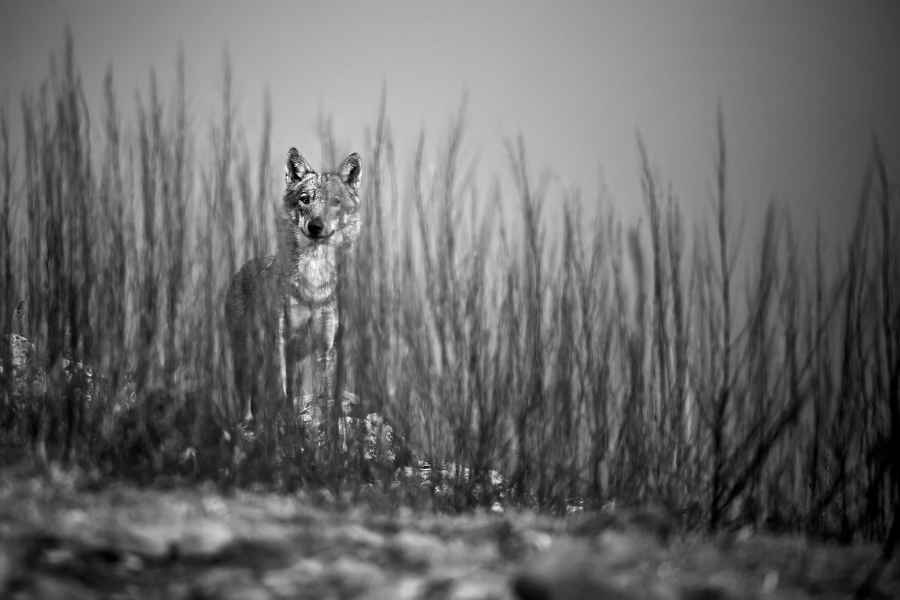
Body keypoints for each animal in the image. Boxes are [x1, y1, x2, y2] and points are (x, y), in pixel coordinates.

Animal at [225, 148, 361, 425]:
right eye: (305, 199)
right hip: (246, 355)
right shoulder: (279, 341)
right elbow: (280, 391)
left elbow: (324, 391)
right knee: (248, 394)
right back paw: (247, 422)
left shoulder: (325, 345)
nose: (316, 226)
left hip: (295, 357)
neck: (313, 283)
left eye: (335, 202)